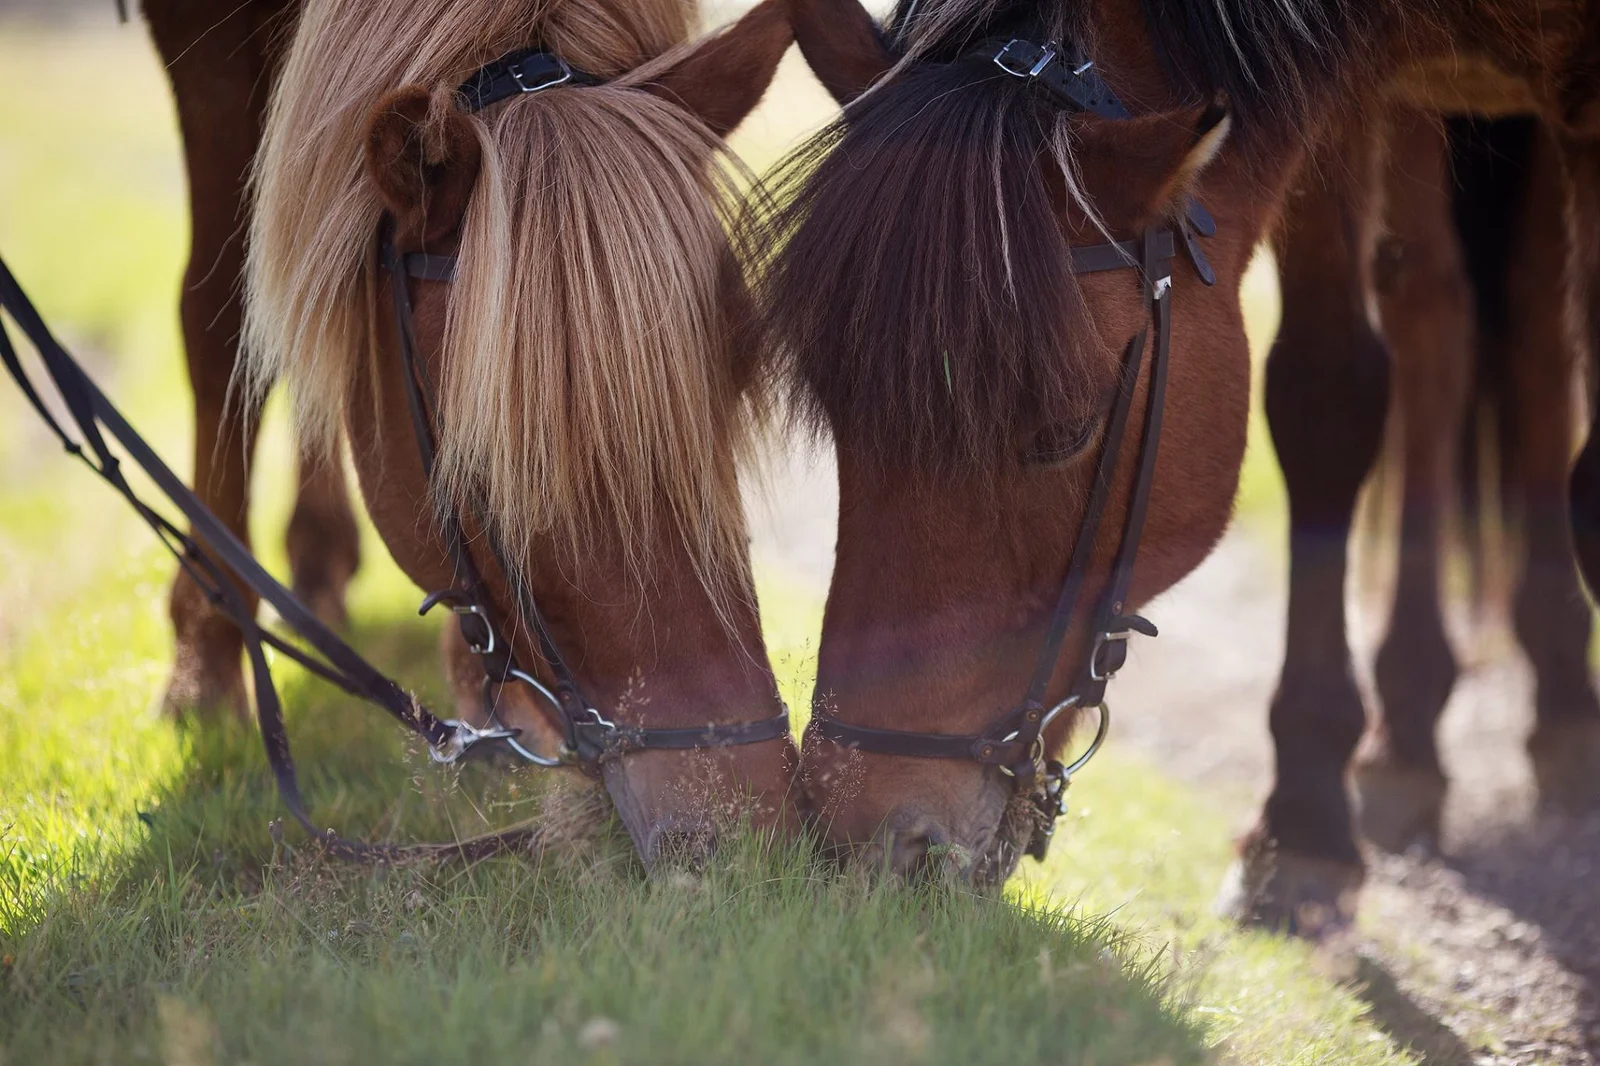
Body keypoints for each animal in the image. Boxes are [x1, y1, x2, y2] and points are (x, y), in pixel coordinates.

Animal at [766, 0, 1600, 923]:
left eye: (1063, 433)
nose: (868, 840)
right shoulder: (1340, 99)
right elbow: (1327, 394)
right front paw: (1305, 821)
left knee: (1534, 319)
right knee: (1439, 320)